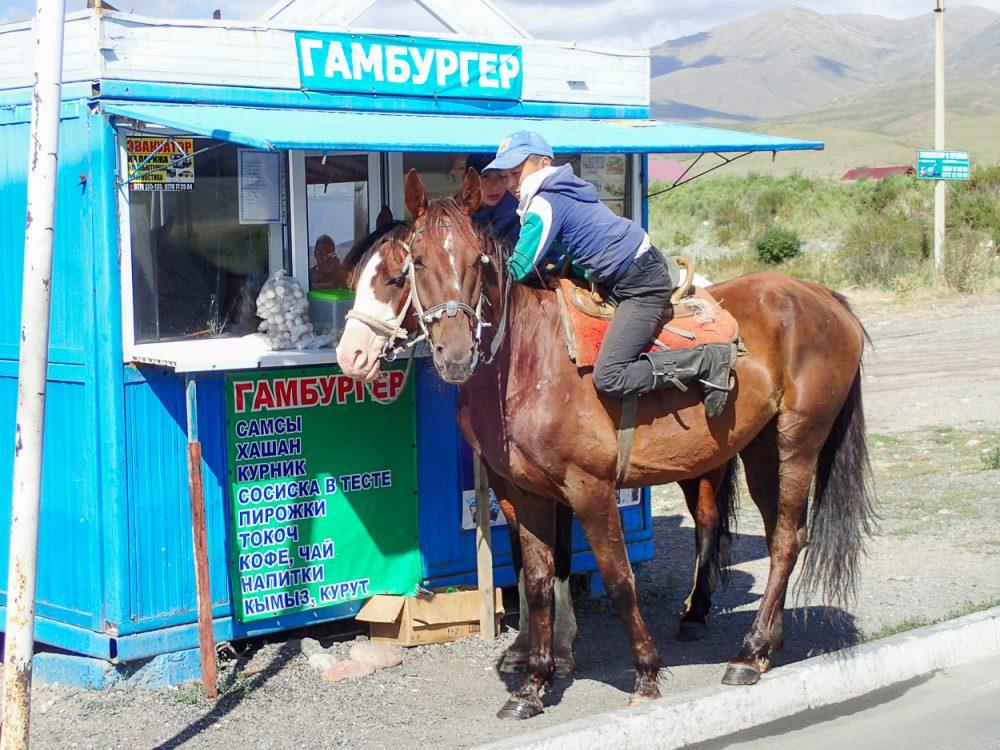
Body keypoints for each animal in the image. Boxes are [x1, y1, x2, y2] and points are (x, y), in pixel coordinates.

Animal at [334, 170, 868, 724]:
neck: (531, 358)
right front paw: (533, 683)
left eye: (476, 261)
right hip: (760, 449)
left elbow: (616, 578)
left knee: (783, 538)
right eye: (415, 263)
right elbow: (538, 577)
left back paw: (747, 652)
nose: (456, 353)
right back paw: (764, 644)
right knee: (776, 532)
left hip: (797, 444)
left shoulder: (589, 489)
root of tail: (823, 297)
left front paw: (645, 674)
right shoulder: (525, 490)